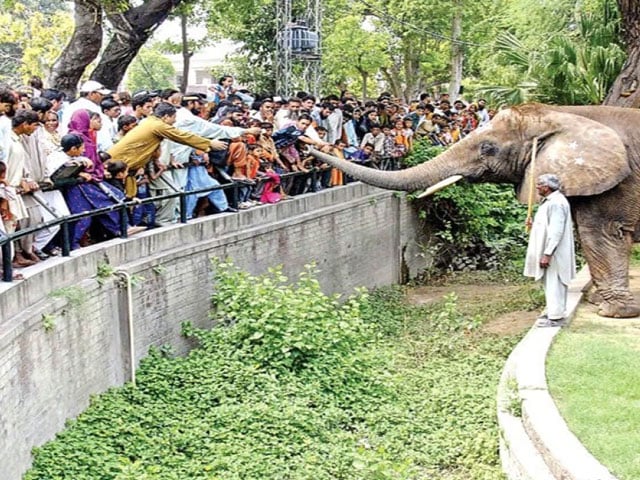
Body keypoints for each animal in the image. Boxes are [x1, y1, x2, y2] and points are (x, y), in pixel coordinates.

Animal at [312, 103, 640, 316]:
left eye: (488, 148)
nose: (310, 149)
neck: (567, 113)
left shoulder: (618, 182)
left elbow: (602, 233)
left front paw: (613, 311)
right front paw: (601, 302)